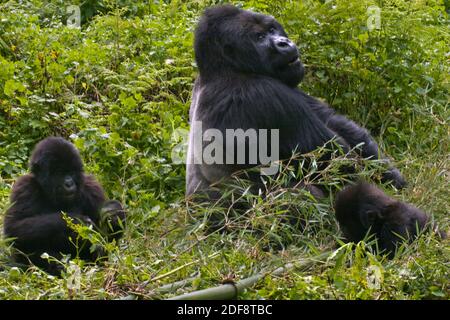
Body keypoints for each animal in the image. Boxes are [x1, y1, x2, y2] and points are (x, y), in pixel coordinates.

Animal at [3, 136, 126, 274]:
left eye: (71, 172)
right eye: (59, 172)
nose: (69, 183)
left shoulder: (92, 188)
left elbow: (106, 240)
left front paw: (114, 213)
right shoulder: (24, 187)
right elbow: (14, 228)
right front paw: (74, 221)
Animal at [185, 5, 406, 199]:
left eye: (271, 29)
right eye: (259, 38)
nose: (283, 42)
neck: (224, 69)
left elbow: (343, 128)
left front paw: (395, 180)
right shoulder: (262, 94)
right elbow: (336, 162)